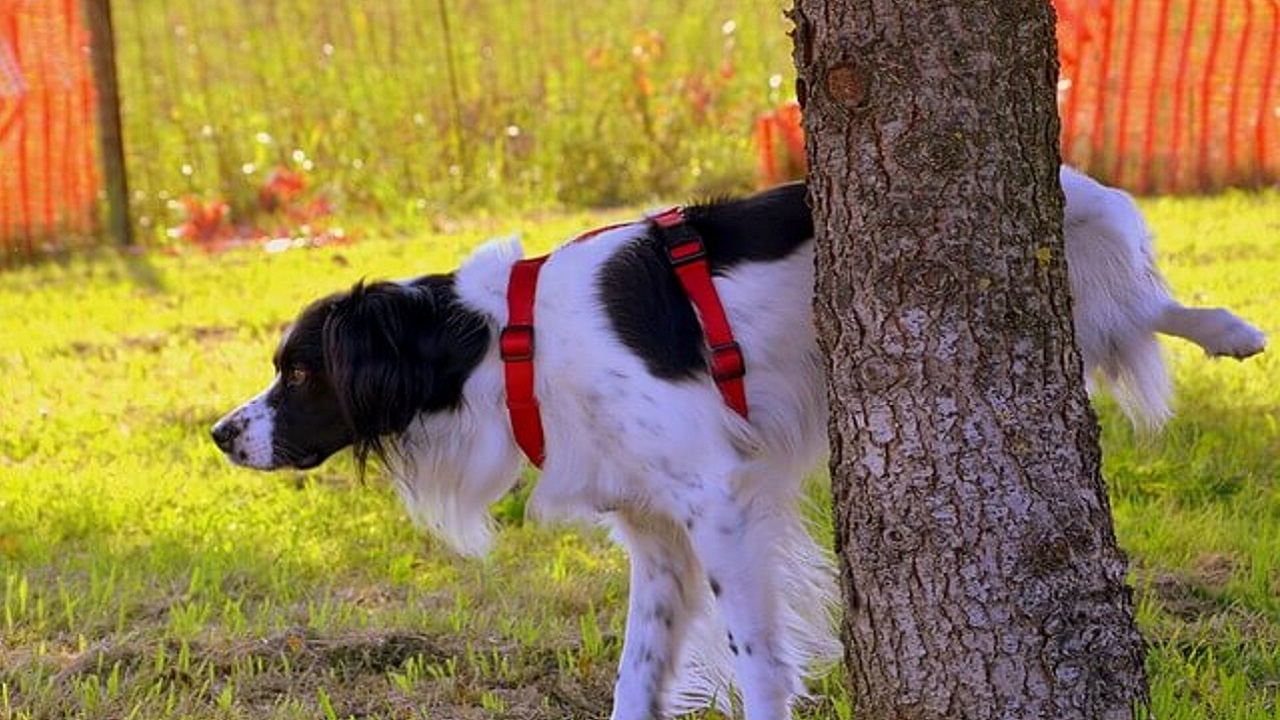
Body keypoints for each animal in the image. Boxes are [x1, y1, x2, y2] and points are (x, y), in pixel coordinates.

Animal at [209, 165, 1259, 712]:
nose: (220, 434)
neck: (506, 344)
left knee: (1148, 299)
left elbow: (758, 657)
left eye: (299, 374)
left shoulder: (717, 504)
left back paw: (1230, 329)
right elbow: (638, 676)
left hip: (1082, 257)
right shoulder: (657, 537)